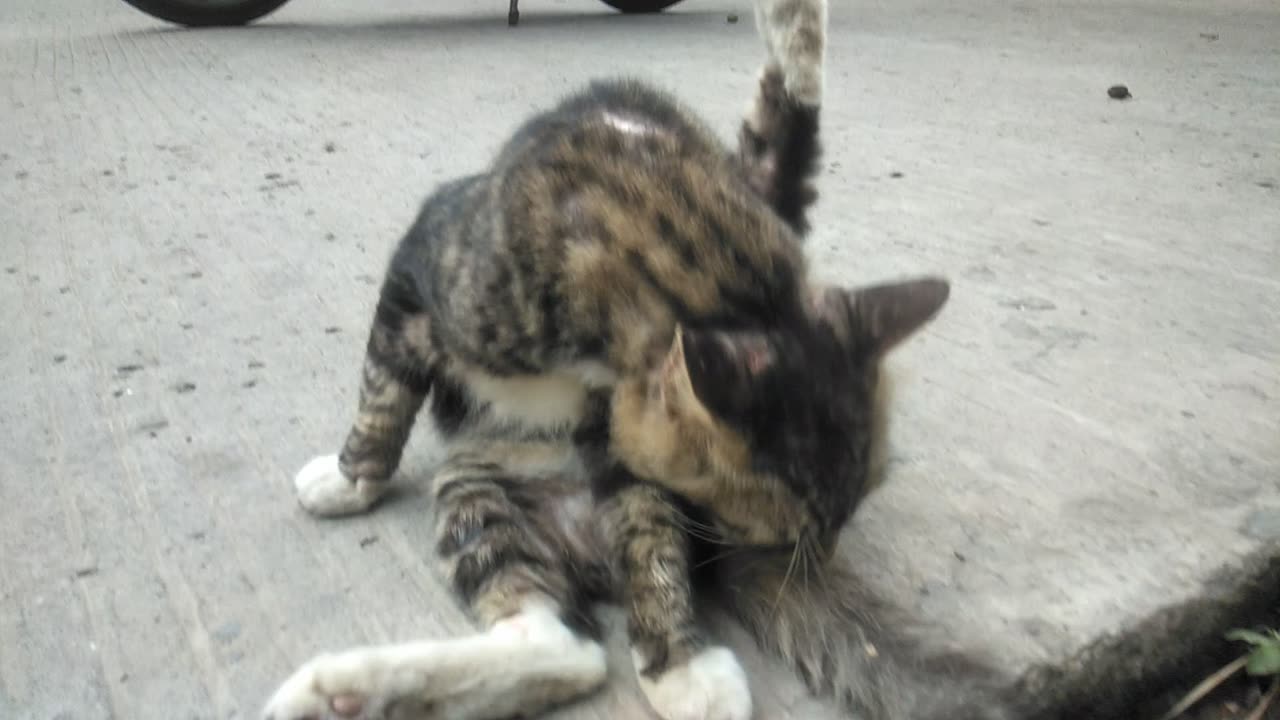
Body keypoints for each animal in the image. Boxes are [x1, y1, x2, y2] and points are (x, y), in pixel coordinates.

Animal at [264, 1, 1013, 717]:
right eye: (781, 534)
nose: (816, 558)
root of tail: (579, 543)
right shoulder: (422, 270)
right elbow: (383, 387)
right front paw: (351, 479)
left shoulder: (631, 442)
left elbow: (653, 539)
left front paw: (677, 661)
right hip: (477, 484)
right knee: (555, 635)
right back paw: (342, 690)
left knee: (575, 643)